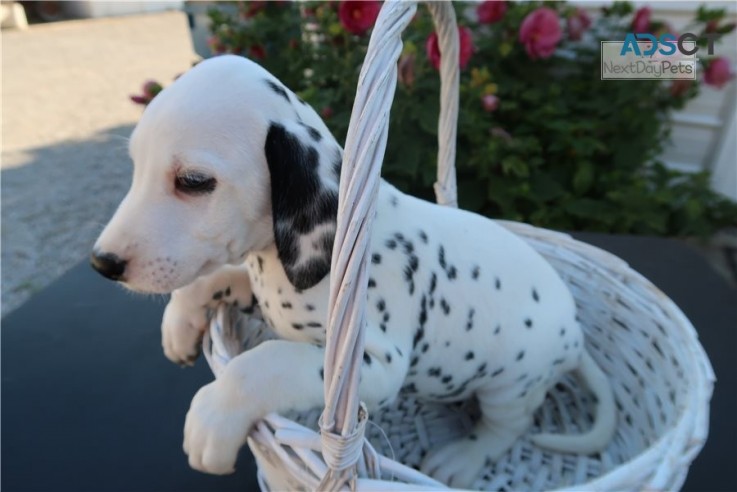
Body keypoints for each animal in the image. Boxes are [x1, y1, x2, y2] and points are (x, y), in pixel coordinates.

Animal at [89, 54, 612, 488]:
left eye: (194, 182)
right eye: (135, 166)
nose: (102, 263)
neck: (278, 260)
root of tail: (576, 333)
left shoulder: (374, 366)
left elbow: (264, 361)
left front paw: (213, 416)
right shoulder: (259, 292)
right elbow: (216, 280)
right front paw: (179, 324)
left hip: (512, 386)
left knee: (508, 427)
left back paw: (464, 457)